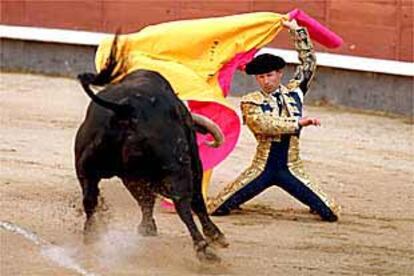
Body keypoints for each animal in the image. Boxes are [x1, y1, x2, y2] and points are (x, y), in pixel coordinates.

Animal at [75, 35, 230, 260]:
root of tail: (126, 109)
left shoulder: (132, 176)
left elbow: (144, 199)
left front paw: (147, 227)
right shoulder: (193, 161)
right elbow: (197, 200)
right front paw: (216, 235)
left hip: (87, 167)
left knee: (90, 200)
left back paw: (91, 236)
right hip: (176, 168)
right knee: (183, 203)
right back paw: (203, 248)